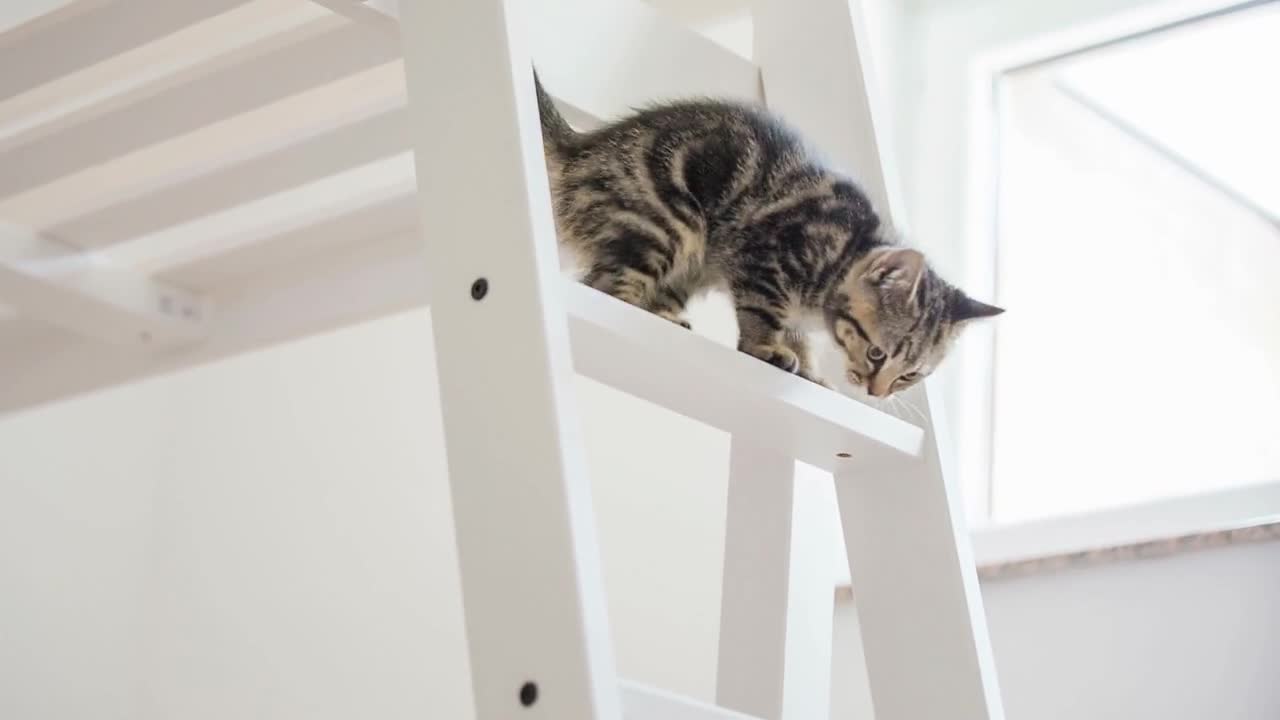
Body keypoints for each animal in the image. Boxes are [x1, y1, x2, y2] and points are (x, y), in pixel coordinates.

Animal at [529, 72, 998, 394]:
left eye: (910, 375)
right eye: (876, 353)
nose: (876, 393)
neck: (844, 251)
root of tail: (583, 150)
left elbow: (796, 335)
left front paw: (808, 368)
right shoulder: (766, 255)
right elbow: (763, 313)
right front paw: (765, 348)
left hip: (693, 261)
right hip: (671, 224)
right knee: (603, 282)